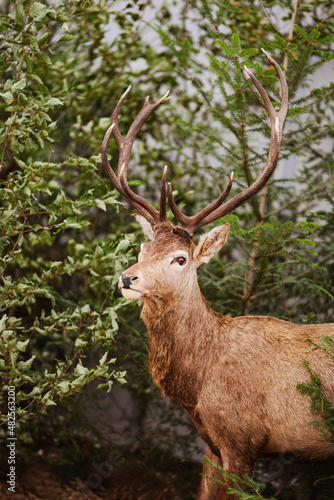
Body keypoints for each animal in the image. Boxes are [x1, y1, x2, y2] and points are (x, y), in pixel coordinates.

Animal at [100, 51, 334, 500]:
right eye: (142, 248)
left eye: (180, 259)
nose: (127, 279)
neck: (199, 385)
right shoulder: (210, 442)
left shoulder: (244, 440)